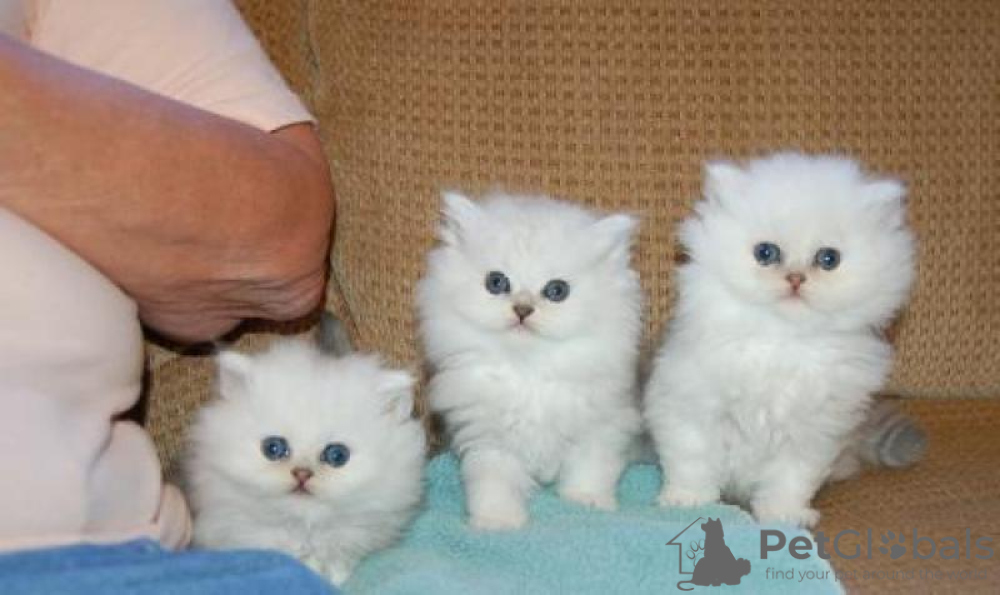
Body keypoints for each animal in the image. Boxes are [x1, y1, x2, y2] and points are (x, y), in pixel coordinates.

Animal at [416, 191, 643, 530]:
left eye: (556, 290)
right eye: (497, 282)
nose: (522, 309)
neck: (528, 369)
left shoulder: (600, 426)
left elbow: (590, 469)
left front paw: (587, 500)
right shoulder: (488, 439)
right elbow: (494, 483)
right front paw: (498, 520)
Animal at [644, 152, 919, 528]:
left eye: (828, 259)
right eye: (766, 253)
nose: (795, 278)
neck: (783, 343)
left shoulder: (813, 433)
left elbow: (791, 478)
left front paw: (783, 515)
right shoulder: (688, 406)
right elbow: (692, 460)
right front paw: (688, 501)